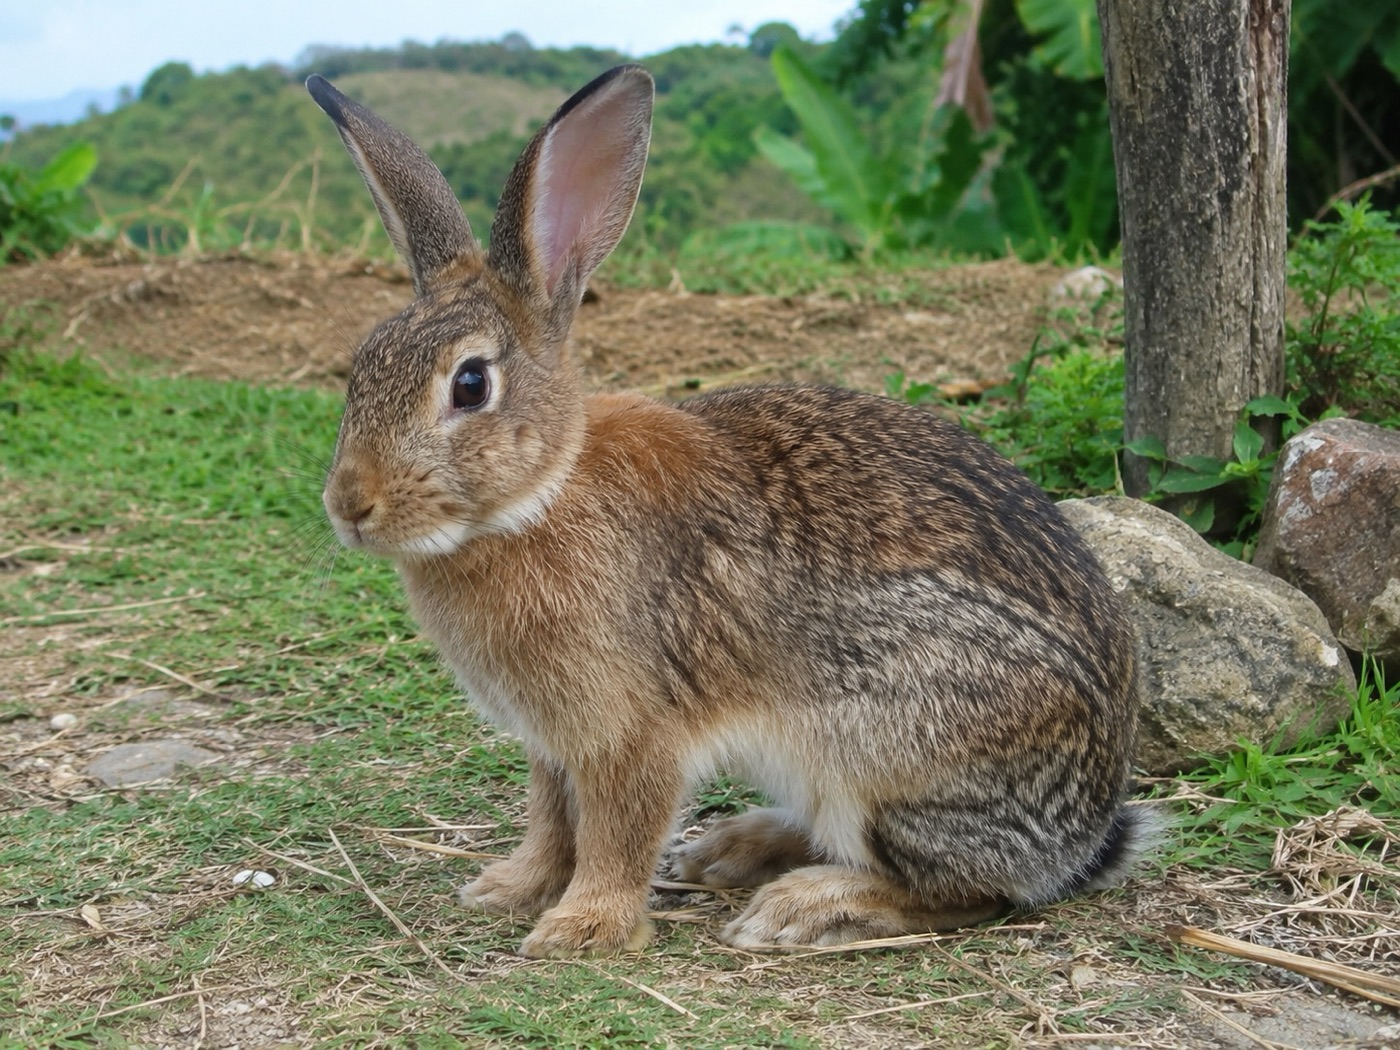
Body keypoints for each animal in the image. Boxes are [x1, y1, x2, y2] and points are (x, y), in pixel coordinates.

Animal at [306, 64, 1148, 959]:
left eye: (470, 385)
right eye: (362, 365)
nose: (350, 505)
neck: (542, 493)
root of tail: (1085, 836)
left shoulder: (628, 731)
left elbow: (616, 833)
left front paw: (582, 929)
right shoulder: (552, 745)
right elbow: (552, 821)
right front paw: (510, 888)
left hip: (887, 756)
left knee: (967, 891)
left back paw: (803, 905)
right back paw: (731, 850)